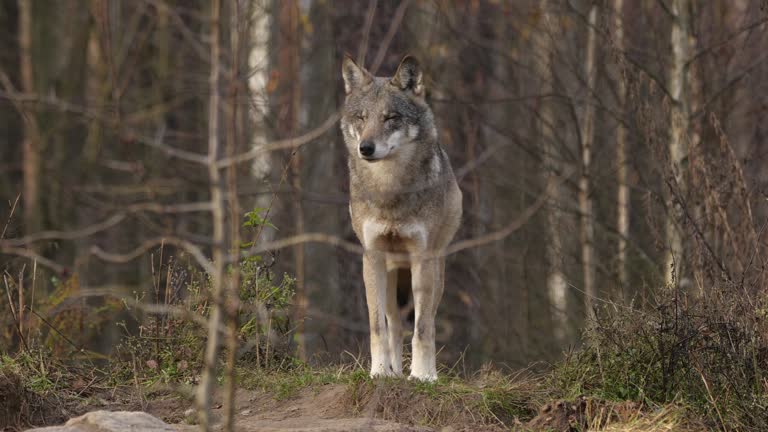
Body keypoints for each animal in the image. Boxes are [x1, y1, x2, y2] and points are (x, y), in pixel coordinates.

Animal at [342, 54, 462, 382]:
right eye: (361, 117)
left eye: (391, 117)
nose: (366, 148)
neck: (389, 189)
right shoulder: (371, 256)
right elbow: (377, 328)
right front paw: (379, 372)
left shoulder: (423, 257)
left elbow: (421, 329)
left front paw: (422, 376)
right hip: (390, 277)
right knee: (394, 324)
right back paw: (394, 371)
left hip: (436, 272)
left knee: (428, 320)